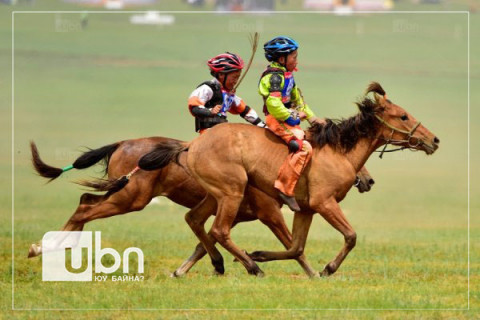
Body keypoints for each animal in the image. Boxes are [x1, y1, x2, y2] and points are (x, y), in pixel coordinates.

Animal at [28, 136, 376, 276]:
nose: (368, 180)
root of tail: (122, 144)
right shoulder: (270, 213)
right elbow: (294, 247)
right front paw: (316, 273)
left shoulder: (233, 213)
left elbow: (203, 240)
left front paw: (188, 270)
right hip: (132, 199)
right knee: (85, 208)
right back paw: (46, 248)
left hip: (123, 194)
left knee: (85, 201)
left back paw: (50, 248)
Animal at [138, 83, 438, 278]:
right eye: (402, 115)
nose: (434, 140)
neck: (336, 151)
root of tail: (191, 145)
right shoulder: (324, 203)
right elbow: (349, 237)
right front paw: (327, 269)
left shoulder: (305, 209)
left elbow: (295, 246)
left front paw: (261, 254)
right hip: (232, 192)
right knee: (219, 230)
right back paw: (251, 267)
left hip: (215, 195)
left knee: (196, 220)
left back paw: (220, 263)